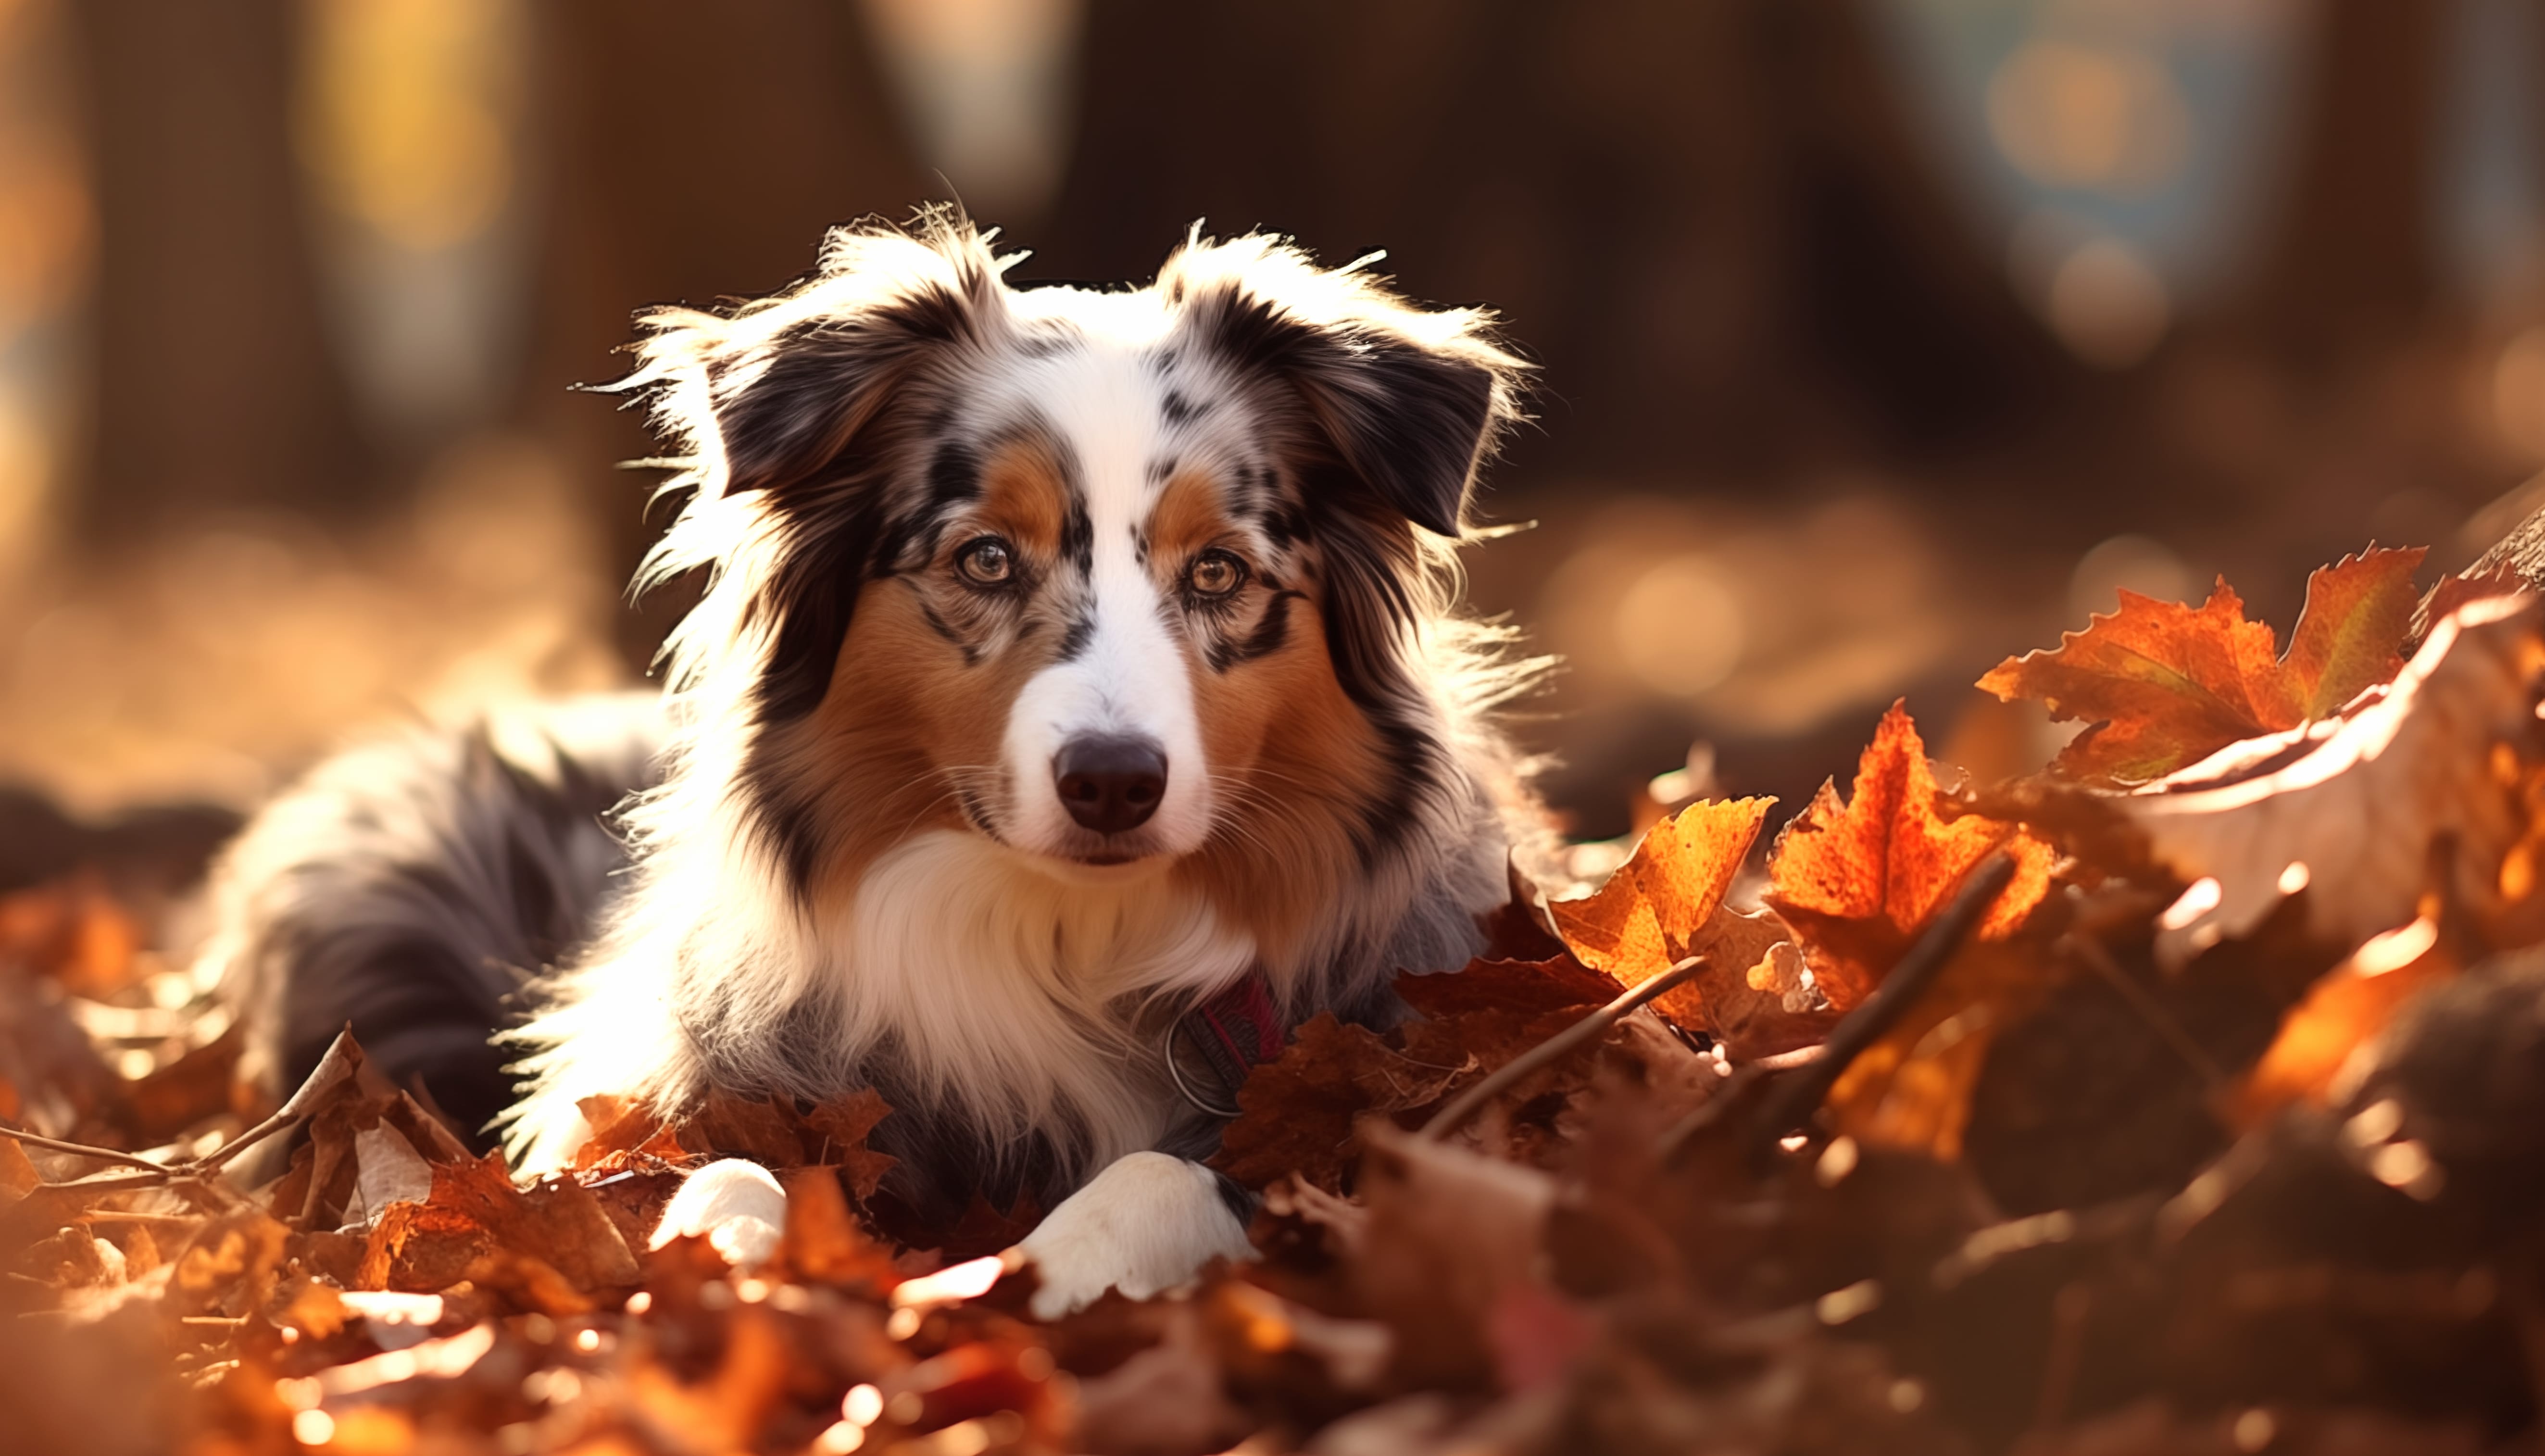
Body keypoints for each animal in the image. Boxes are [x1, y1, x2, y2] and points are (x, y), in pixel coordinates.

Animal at [203, 216, 1527, 1323]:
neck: (1067, 935)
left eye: (1218, 572)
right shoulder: (674, 1094)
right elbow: (717, 1166)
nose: (1112, 780)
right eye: (985, 557)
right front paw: (727, 1265)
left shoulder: (1371, 1111)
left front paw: (1033, 1270)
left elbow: (1167, 1173)